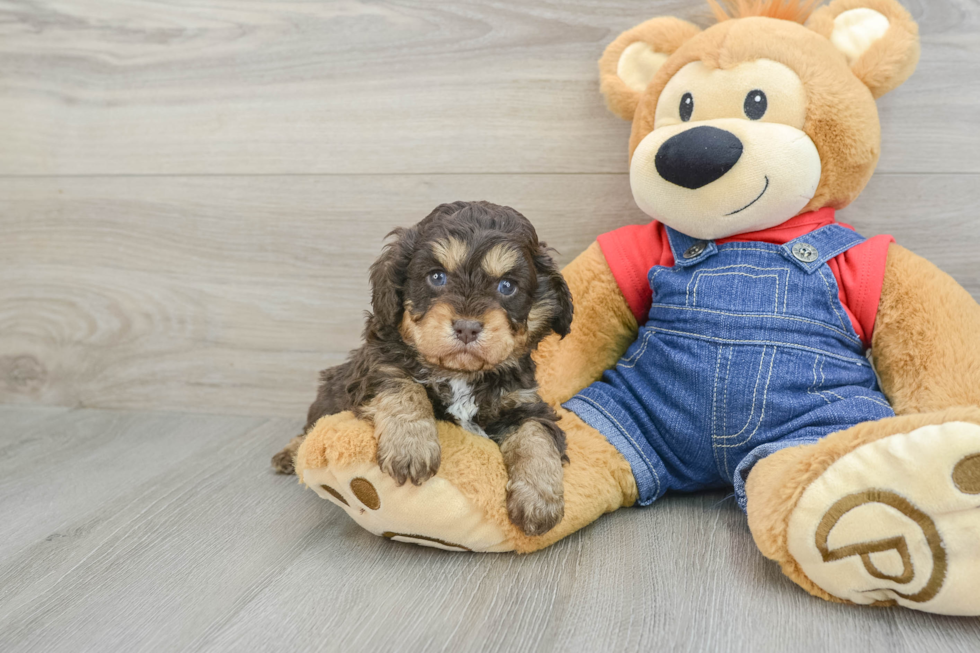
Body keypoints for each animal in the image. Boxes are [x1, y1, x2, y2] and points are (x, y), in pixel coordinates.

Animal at [272, 200, 576, 536]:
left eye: (507, 286)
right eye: (437, 277)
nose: (467, 327)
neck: (459, 374)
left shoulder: (524, 403)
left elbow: (536, 436)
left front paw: (539, 500)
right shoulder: (375, 366)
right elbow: (403, 386)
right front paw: (411, 447)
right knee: (313, 425)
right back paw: (290, 453)